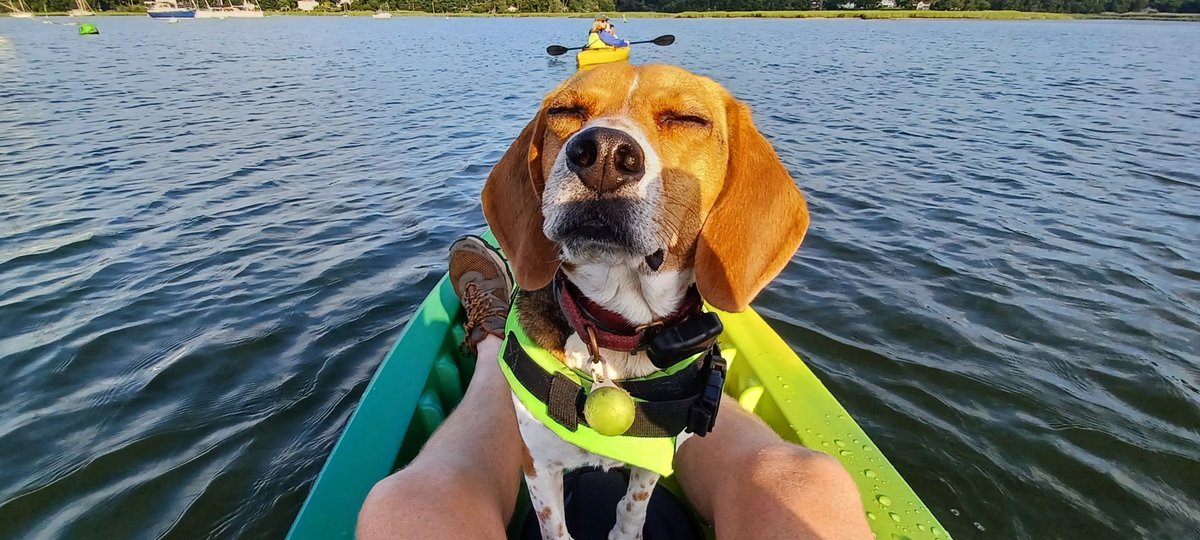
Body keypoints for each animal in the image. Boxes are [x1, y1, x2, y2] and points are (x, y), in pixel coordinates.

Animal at [482, 65, 811, 540]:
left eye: (688, 119)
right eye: (565, 111)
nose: (601, 153)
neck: (617, 327)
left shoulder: (655, 455)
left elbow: (633, 507)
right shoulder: (538, 463)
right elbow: (555, 527)